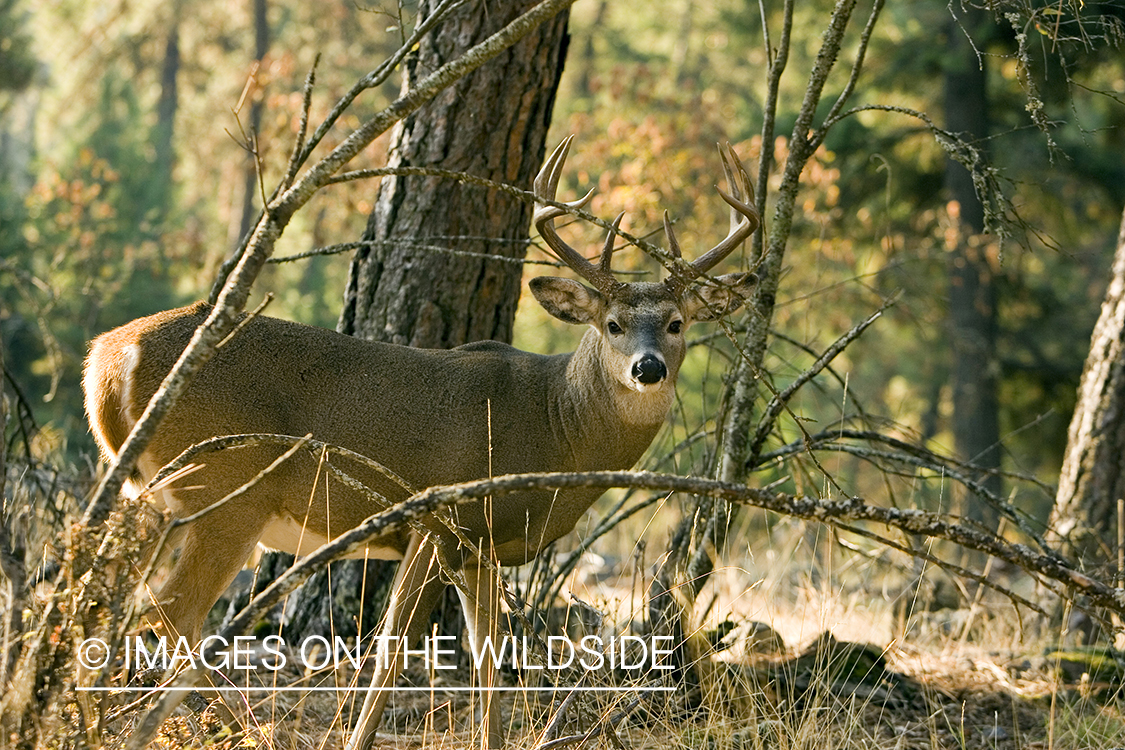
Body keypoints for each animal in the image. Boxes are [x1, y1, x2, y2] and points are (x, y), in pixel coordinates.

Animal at [83, 137, 760, 746]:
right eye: (613, 324)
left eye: (676, 323)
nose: (648, 368)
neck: (554, 425)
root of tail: (108, 358)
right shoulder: (438, 517)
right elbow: (390, 651)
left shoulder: (482, 546)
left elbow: (488, 661)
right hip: (226, 489)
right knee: (172, 610)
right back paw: (240, 727)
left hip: (150, 494)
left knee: (111, 599)